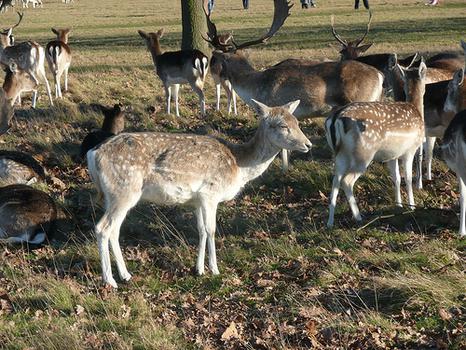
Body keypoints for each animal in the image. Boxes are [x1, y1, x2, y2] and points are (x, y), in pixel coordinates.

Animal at [88, 98, 314, 288]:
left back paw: (125, 275)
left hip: (112, 196)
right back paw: (110, 280)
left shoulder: (197, 200)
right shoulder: (210, 193)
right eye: (283, 125)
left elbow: (201, 230)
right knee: (102, 228)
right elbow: (211, 230)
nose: (308, 144)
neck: (239, 165)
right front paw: (214, 269)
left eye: (297, 122)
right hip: (124, 190)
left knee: (114, 230)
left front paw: (198, 269)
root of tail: (93, 154)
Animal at [326, 60, 428, 227]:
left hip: (340, 153)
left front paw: (399, 204)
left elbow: (396, 178)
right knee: (347, 181)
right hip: (363, 153)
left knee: (336, 179)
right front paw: (412, 206)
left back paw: (330, 222)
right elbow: (408, 177)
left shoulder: (392, 155)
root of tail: (335, 119)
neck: (417, 112)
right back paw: (358, 217)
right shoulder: (409, 150)